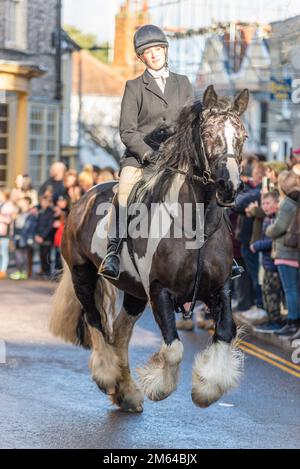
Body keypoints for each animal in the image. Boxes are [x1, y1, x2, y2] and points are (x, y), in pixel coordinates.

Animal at [50, 86, 250, 412]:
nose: (229, 187)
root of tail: (84, 197)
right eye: (208, 133)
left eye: (242, 136)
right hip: (83, 275)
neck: (196, 224)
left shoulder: (220, 289)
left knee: (120, 333)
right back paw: (108, 376)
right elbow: (173, 348)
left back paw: (126, 392)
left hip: (133, 292)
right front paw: (160, 387)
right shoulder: (160, 290)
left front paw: (207, 387)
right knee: (95, 322)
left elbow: (224, 333)